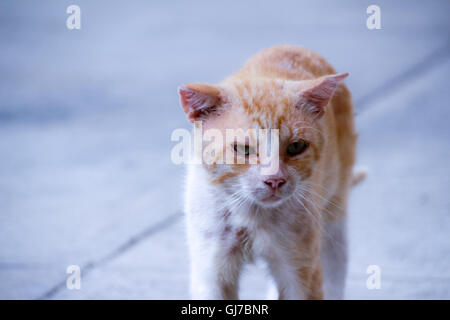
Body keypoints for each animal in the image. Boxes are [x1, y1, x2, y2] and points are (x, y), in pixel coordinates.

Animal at [177, 45, 362, 300]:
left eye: (296, 147)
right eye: (243, 149)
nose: (274, 180)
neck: (252, 215)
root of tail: (293, 47)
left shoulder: (300, 270)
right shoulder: (211, 269)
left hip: (334, 220)